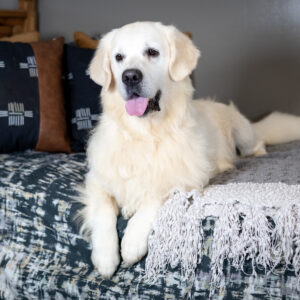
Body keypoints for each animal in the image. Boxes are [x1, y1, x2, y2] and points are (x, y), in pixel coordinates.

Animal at [81, 21, 300, 278]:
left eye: (152, 52)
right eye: (119, 57)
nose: (130, 76)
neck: (144, 134)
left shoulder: (183, 178)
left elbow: (154, 198)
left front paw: (132, 243)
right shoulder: (97, 179)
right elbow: (103, 210)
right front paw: (105, 257)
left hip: (244, 134)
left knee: (258, 144)